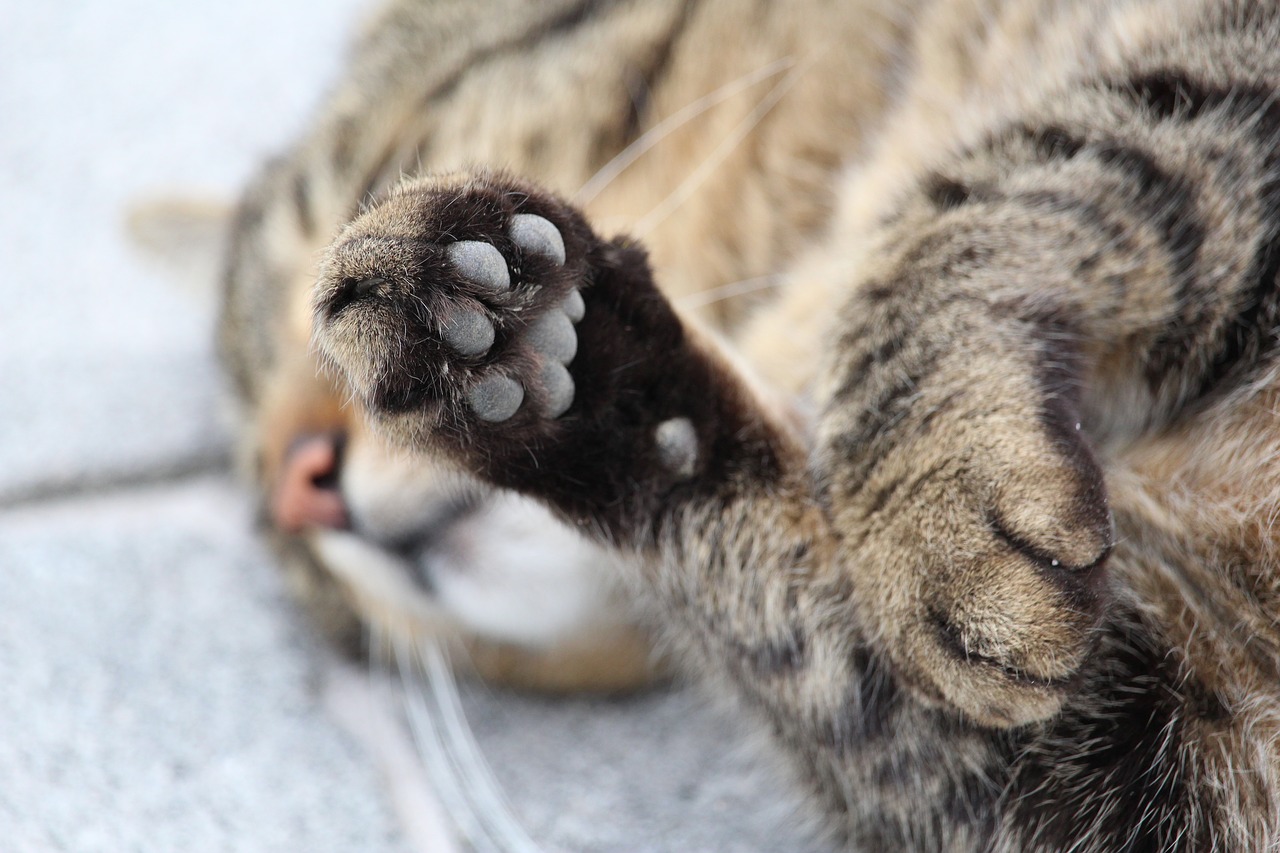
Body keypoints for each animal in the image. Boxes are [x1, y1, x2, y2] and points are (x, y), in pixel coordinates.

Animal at [220, 0, 1280, 845]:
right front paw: (584, 380)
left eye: (379, 167)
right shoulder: (1152, 764)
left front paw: (929, 494)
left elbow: (1033, 160)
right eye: (302, 577)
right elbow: (823, 661)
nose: (296, 488)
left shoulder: (1220, 52)